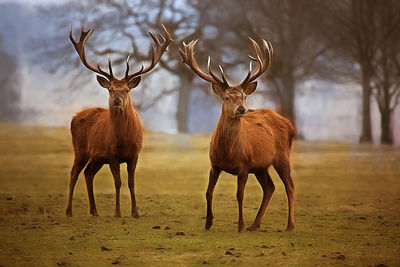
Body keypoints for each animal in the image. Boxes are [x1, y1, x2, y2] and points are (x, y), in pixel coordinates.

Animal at [65, 25, 172, 218]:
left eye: (127, 89)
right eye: (110, 89)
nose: (116, 100)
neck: (124, 140)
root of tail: (74, 116)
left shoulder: (135, 154)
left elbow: (131, 182)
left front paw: (135, 212)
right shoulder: (112, 154)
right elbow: (118, 182)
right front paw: (117, 212)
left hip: (97, 157)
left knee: (88, 173)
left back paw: (94, 211)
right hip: (81, 149)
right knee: (74, 173)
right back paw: (69, 211)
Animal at [180, 37, 296, 232]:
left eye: (244, 97)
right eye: (227, 97)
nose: (241, 109)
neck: (227, 153)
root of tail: (289, 124)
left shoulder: (244, 166)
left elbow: (239, 194)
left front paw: (240, 225)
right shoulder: (214, 164)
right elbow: (208, 192)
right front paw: (208, 222)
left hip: (282, 156)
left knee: (290, 186)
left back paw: (289, 225)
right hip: (261, 167)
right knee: (270, 187)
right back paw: (255, 224)